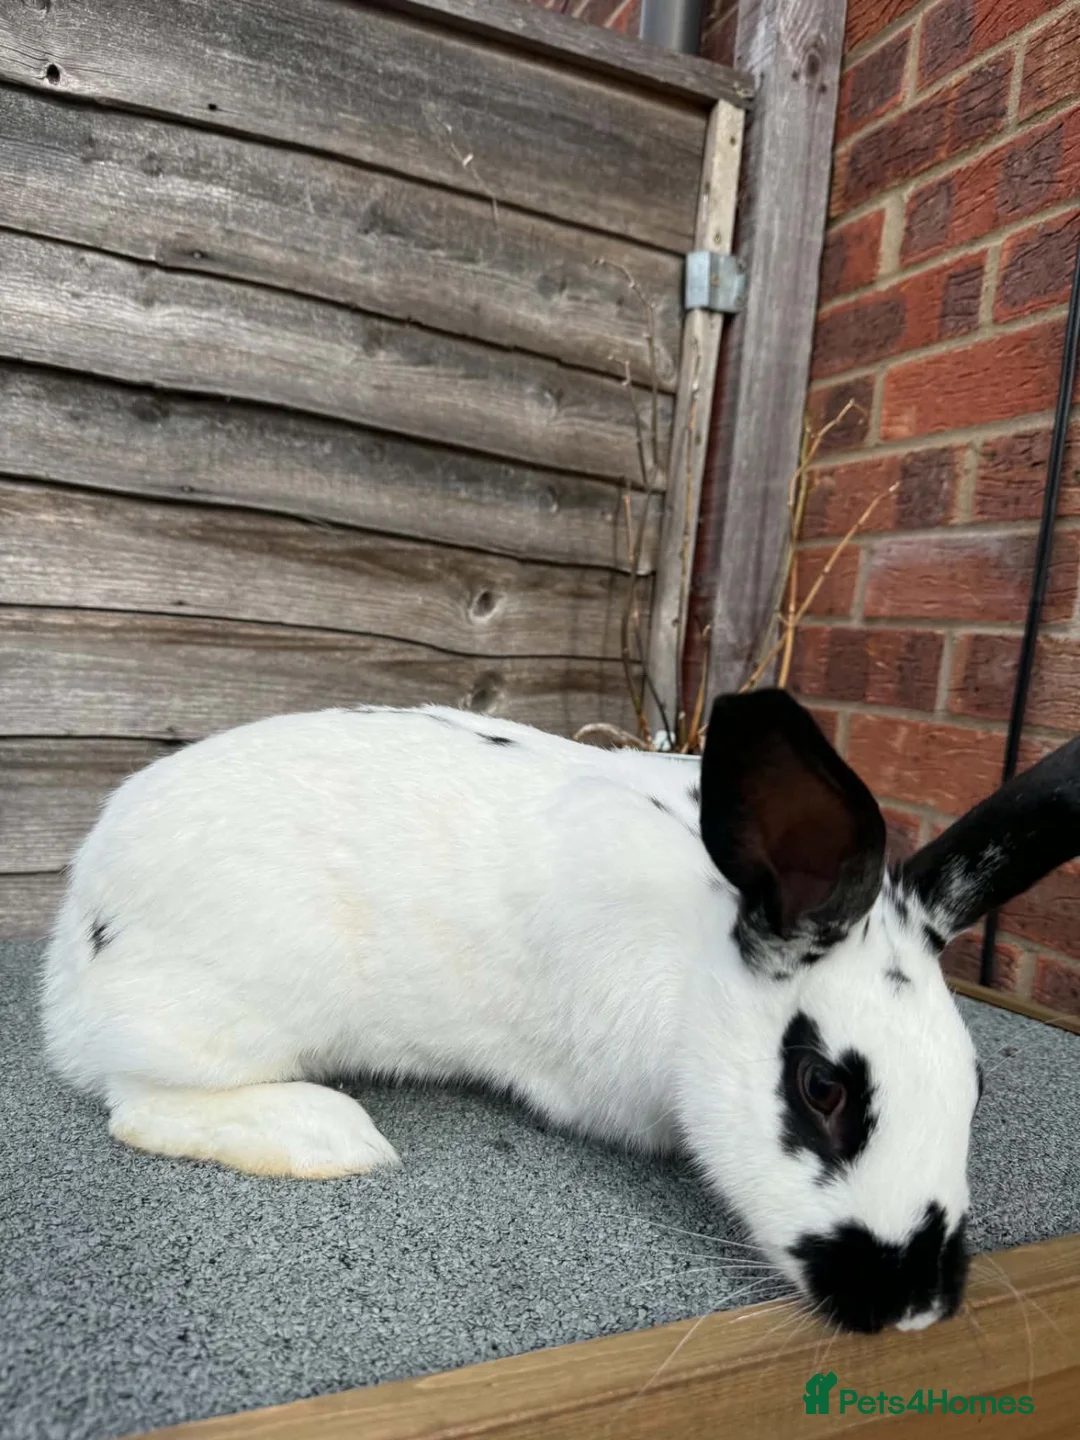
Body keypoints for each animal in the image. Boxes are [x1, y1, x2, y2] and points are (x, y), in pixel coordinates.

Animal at [41, 689, 1080, 1334]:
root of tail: (70, 953)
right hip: (219, 1016)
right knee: (139, 1105)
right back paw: (331, 1136)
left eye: (975, 1085)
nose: (914, 1307)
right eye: (822, 1085)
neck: (693, 956)